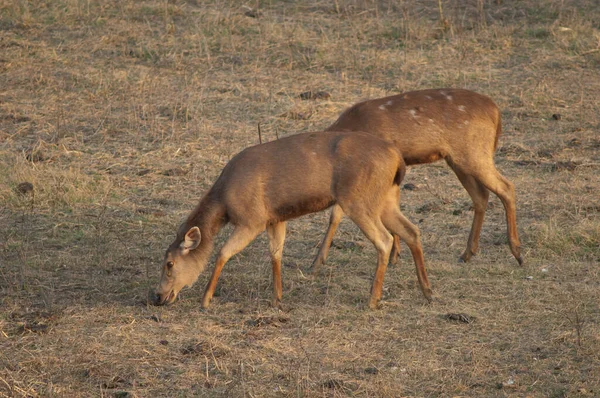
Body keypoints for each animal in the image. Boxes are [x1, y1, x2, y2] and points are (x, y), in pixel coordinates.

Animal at [152, 129, 428, 310]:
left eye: (169, 263)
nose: (158, 296)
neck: (225, 202)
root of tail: (397, 159)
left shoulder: (252, 219)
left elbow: (223, 252)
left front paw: (206, 299)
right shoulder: (275, 218)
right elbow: (276, 253)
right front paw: (278, 298)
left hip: (358, 199)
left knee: (384, 239)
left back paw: (373, 299)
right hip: (386, 198)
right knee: (412, 230)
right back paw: (427, 289)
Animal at [312, 88, 524, 274]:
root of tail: (496, 111)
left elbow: (340, 213)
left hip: (473, 152)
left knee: (506, 187)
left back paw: (517, 252)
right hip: (456, 160)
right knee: (481, 195)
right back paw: (467, 254)